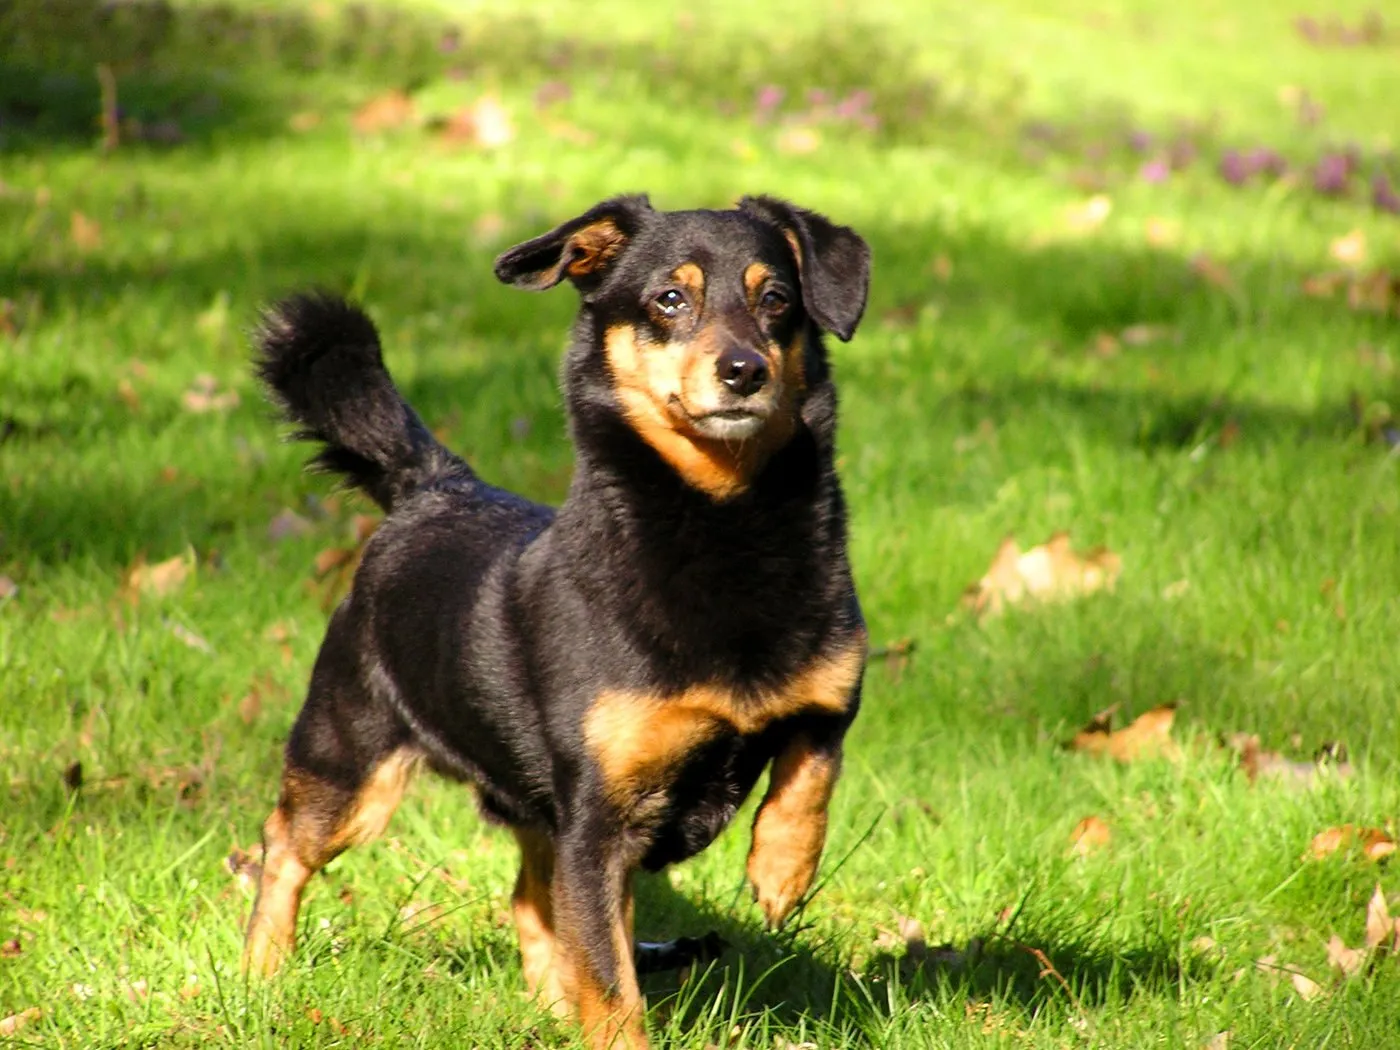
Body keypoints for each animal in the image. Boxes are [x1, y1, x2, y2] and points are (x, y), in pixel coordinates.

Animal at [246, 193, 868, 1047]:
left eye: (776, 299)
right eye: (668, 300)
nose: (745, 370)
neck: (725, 517)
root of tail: (434, 487)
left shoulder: (829, 698)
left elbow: (810, 771)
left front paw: (780, 870)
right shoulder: (597, 823)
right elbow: (612, 980)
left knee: (529, 902)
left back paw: (545, 1005)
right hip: (348, 761)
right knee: (283, 848)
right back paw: (258, 972)